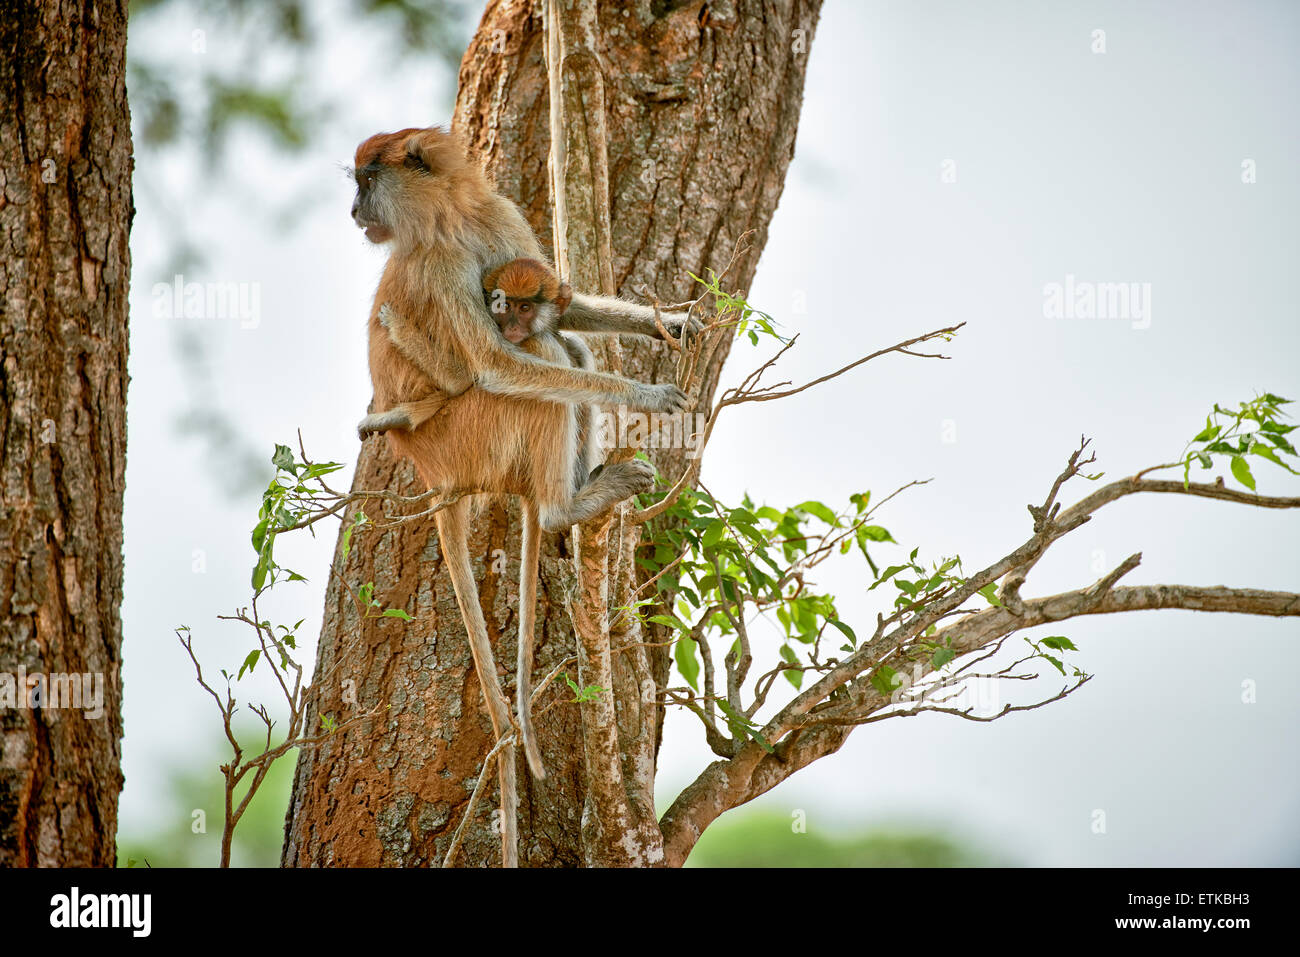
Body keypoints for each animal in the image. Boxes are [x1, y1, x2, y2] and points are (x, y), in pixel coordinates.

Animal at [345, 127, 691, 868]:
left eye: (365, 180)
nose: (355, 210)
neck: (449, 217)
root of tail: (431, 468)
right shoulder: (442, 267)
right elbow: (496, 363)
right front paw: (645, 392)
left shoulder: (497, 221)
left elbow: (566, 309)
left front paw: (672, 324)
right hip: (470, 433)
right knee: (542, 373)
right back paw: (566, 506)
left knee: (567, 349)